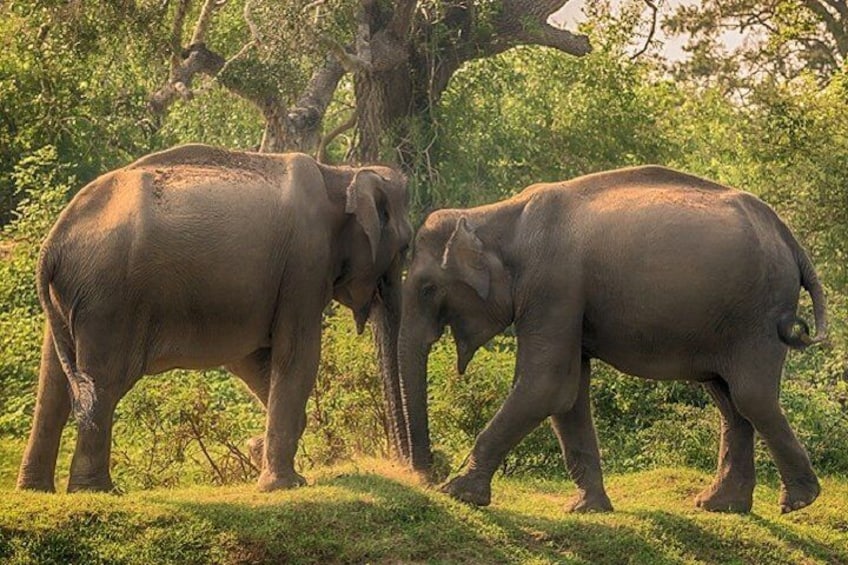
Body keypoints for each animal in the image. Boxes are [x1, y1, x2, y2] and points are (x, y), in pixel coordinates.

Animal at [18, 144, 416, 494]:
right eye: (406, 246)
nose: (410, 471)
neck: (340, 174)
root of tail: (52, 243)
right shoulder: (305, 263)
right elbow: (297, 354)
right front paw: (285, 484)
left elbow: (250, 360)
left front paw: (259, 452)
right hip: (108, 300)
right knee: (103, 382)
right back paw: (97, 491)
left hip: (71, 302)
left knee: (54, 383)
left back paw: (36, 489)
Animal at [400, 165, 828, 512]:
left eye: (426, 288)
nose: (425, 476)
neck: (494, 214)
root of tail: (789, 239)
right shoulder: (565, 299)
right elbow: (567, 393)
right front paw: (587, 508)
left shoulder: (553, 285)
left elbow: (545, 384)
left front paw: (456, 492)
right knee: (730, 400)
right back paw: (721, 505)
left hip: (759, 314)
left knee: (750, 396)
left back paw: (797, 502)